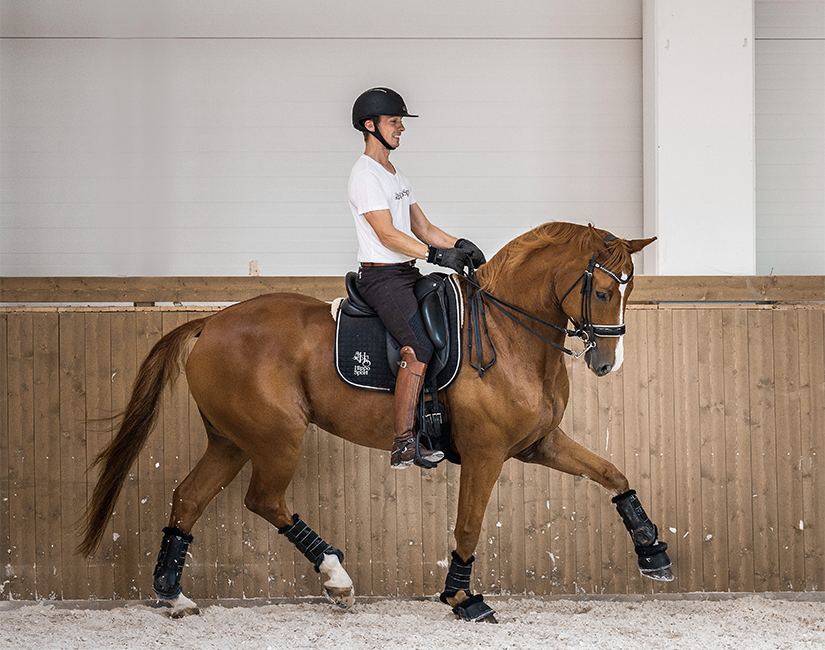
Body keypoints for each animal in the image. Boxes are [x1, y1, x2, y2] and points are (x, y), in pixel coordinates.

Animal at [79, 221, 668, 616]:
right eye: (601, 290)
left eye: (629, 289)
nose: (606, 363)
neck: (508, 333)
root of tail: (212, 322)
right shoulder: (487, 453)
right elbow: (469, 523)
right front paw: (461, 597)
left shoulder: (538, 443)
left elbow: (613, 473)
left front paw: (651, 550)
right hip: (277, 437)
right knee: (263, 500)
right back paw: (335, 577)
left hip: (232, 440)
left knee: (189, 498)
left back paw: (173, 594)